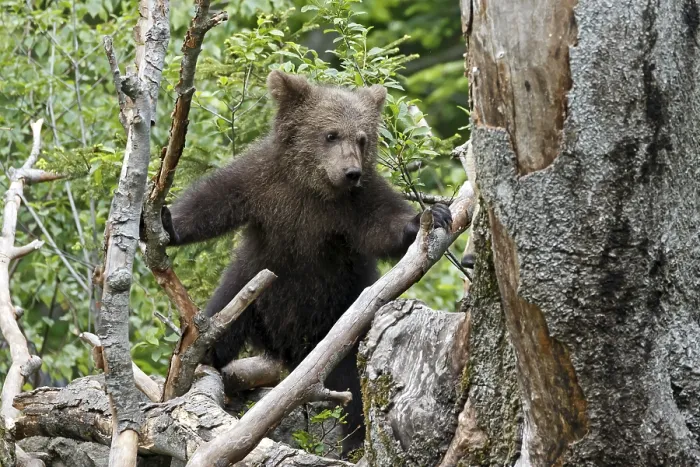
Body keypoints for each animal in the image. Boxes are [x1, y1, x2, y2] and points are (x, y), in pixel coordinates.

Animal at [158, 70, 452, 454]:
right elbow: (213, 201)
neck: (314, 188)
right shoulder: (262, 185)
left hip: (342, 320)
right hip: (247, 293)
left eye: (362, 138)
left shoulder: (354, 207)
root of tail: (286, 347)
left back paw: (354, 445)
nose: (351, 171)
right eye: (330, 134)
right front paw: (167, 221)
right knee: (218, 332)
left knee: (354, 390)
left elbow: (384, 224)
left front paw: (428, 216)